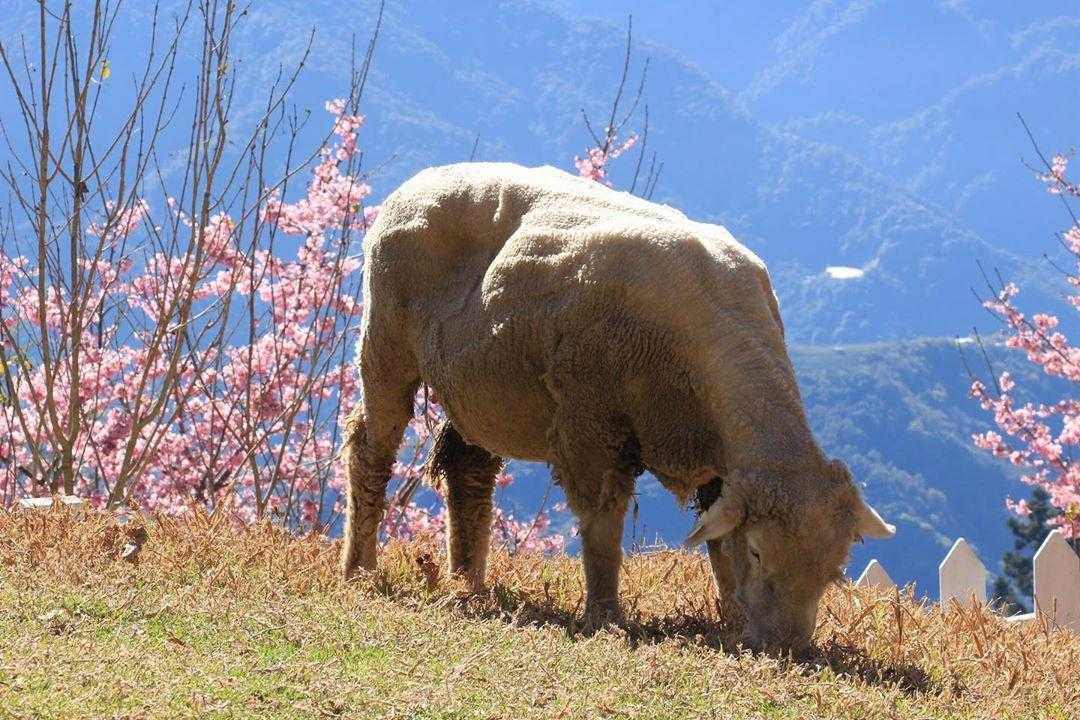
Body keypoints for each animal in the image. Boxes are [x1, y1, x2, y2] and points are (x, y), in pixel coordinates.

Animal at [339, 161, 894, 651]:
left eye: (835, 568)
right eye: (760, 552)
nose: (789, 647)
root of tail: (421, 180)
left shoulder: (715, 461)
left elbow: (718, 542)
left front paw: (733, 618)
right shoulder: (589, 423)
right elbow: (603, 524)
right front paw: (605, 616)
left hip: (482, 389)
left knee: (468, 468)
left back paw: (468, 583)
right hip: (386, 340)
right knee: (370, 448)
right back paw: (360, 568)